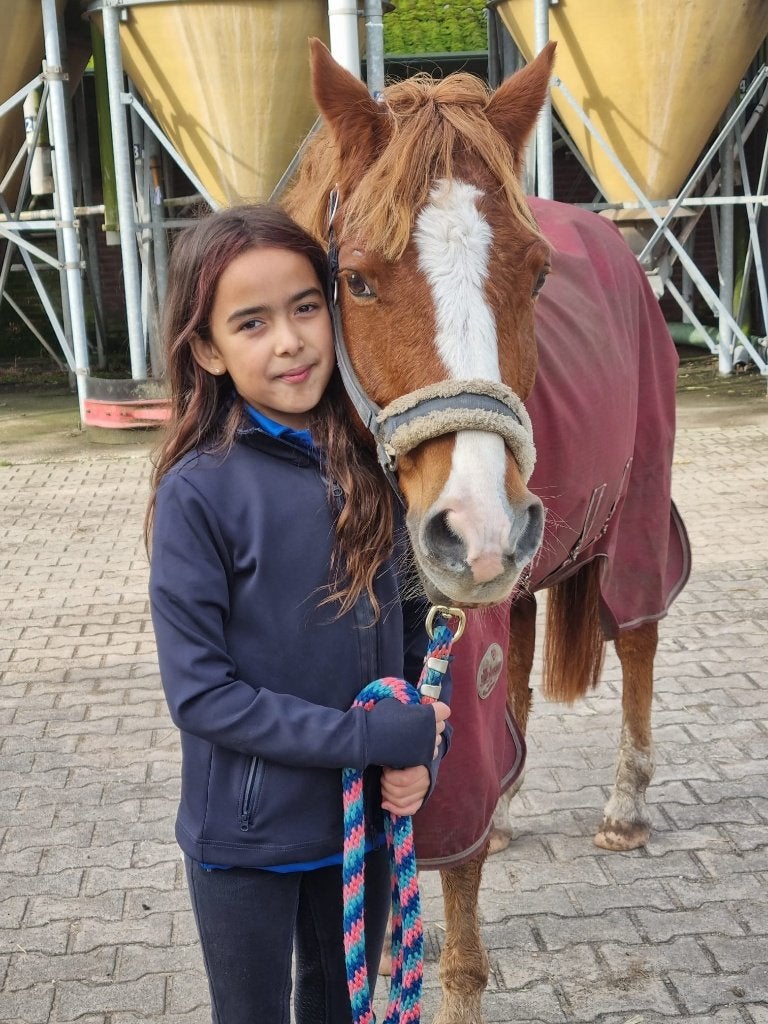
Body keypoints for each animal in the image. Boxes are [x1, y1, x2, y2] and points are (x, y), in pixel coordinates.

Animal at [284, 39, 690, 1024]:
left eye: (537, 275)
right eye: (355, 279)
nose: (475, 527)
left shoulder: (455, 658)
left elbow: (456, 907)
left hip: (627, 519)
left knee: (637, 635)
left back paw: (625, 808)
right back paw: (511, 812)